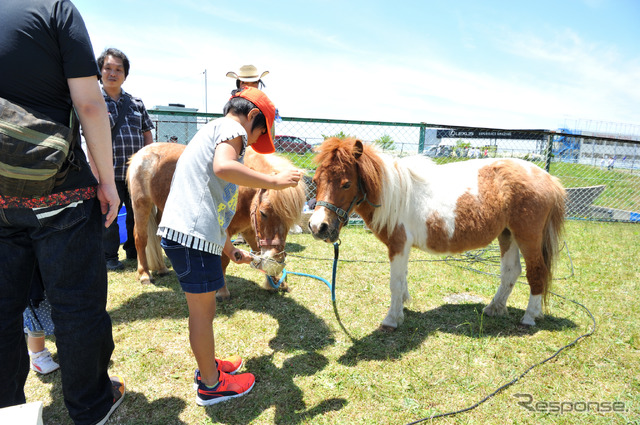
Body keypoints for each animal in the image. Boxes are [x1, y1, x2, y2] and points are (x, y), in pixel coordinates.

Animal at [127, 142, 308, 298]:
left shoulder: (250, 230)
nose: (277, 259)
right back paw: (144, 275)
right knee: (141, 238)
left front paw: (276, 282)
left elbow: (258, 251)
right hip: (141, 204)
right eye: (263, 213)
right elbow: (224, 259)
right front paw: (222, 291)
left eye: (290, 220)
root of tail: (142, 152)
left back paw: (163, 268)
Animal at [310, 137, 564, 330]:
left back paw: (529, 317)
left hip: (528, 237)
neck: (395, 195)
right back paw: (494, 308)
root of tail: (549, 178)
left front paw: (392, 319)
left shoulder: (398, 245)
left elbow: (395, 282)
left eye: (346, 184)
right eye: (315, 180)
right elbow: (403, 279)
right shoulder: (402, 248)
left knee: (536, 272)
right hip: (507, 235)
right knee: (511, 272)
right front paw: (403, 305)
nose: (317, 226)